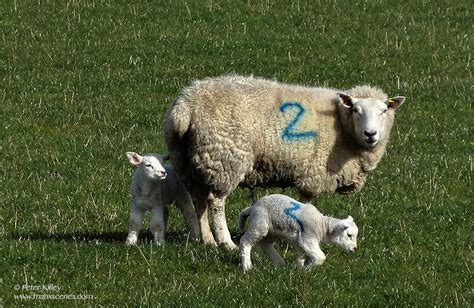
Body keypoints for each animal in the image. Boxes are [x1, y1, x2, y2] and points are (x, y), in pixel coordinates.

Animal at [163, 74, 404, 250]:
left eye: (384, 111)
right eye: (355, 110)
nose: (371, 134)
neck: (342, 128)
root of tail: (186, 105)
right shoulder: (313, 174)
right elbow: (307, 204)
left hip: (190, 160)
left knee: (199, 200)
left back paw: (204, 238)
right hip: (225, 159)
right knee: (216, 202)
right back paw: (226, 242)